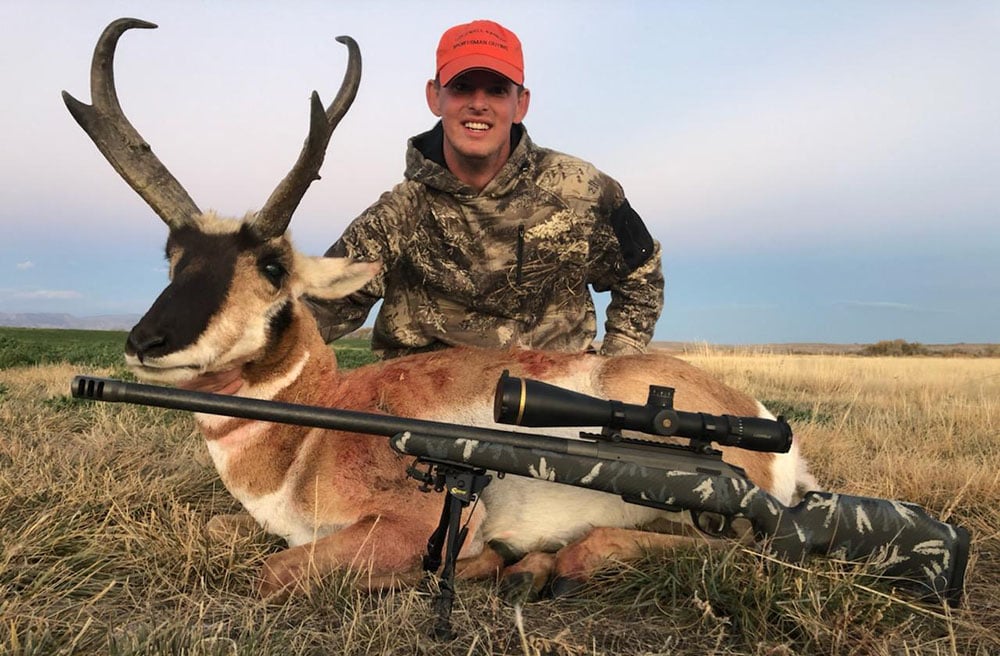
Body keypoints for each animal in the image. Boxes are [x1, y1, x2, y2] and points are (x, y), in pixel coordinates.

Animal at [60, 19, 812, 596]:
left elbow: (276, 571)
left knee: (747, 550)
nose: (146, 341)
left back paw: (545, 563)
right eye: (173, 256)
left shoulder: (406, 522)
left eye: (273, 266)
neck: (317, 424)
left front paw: (478, 561)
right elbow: (217, 526)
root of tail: (763, 421)